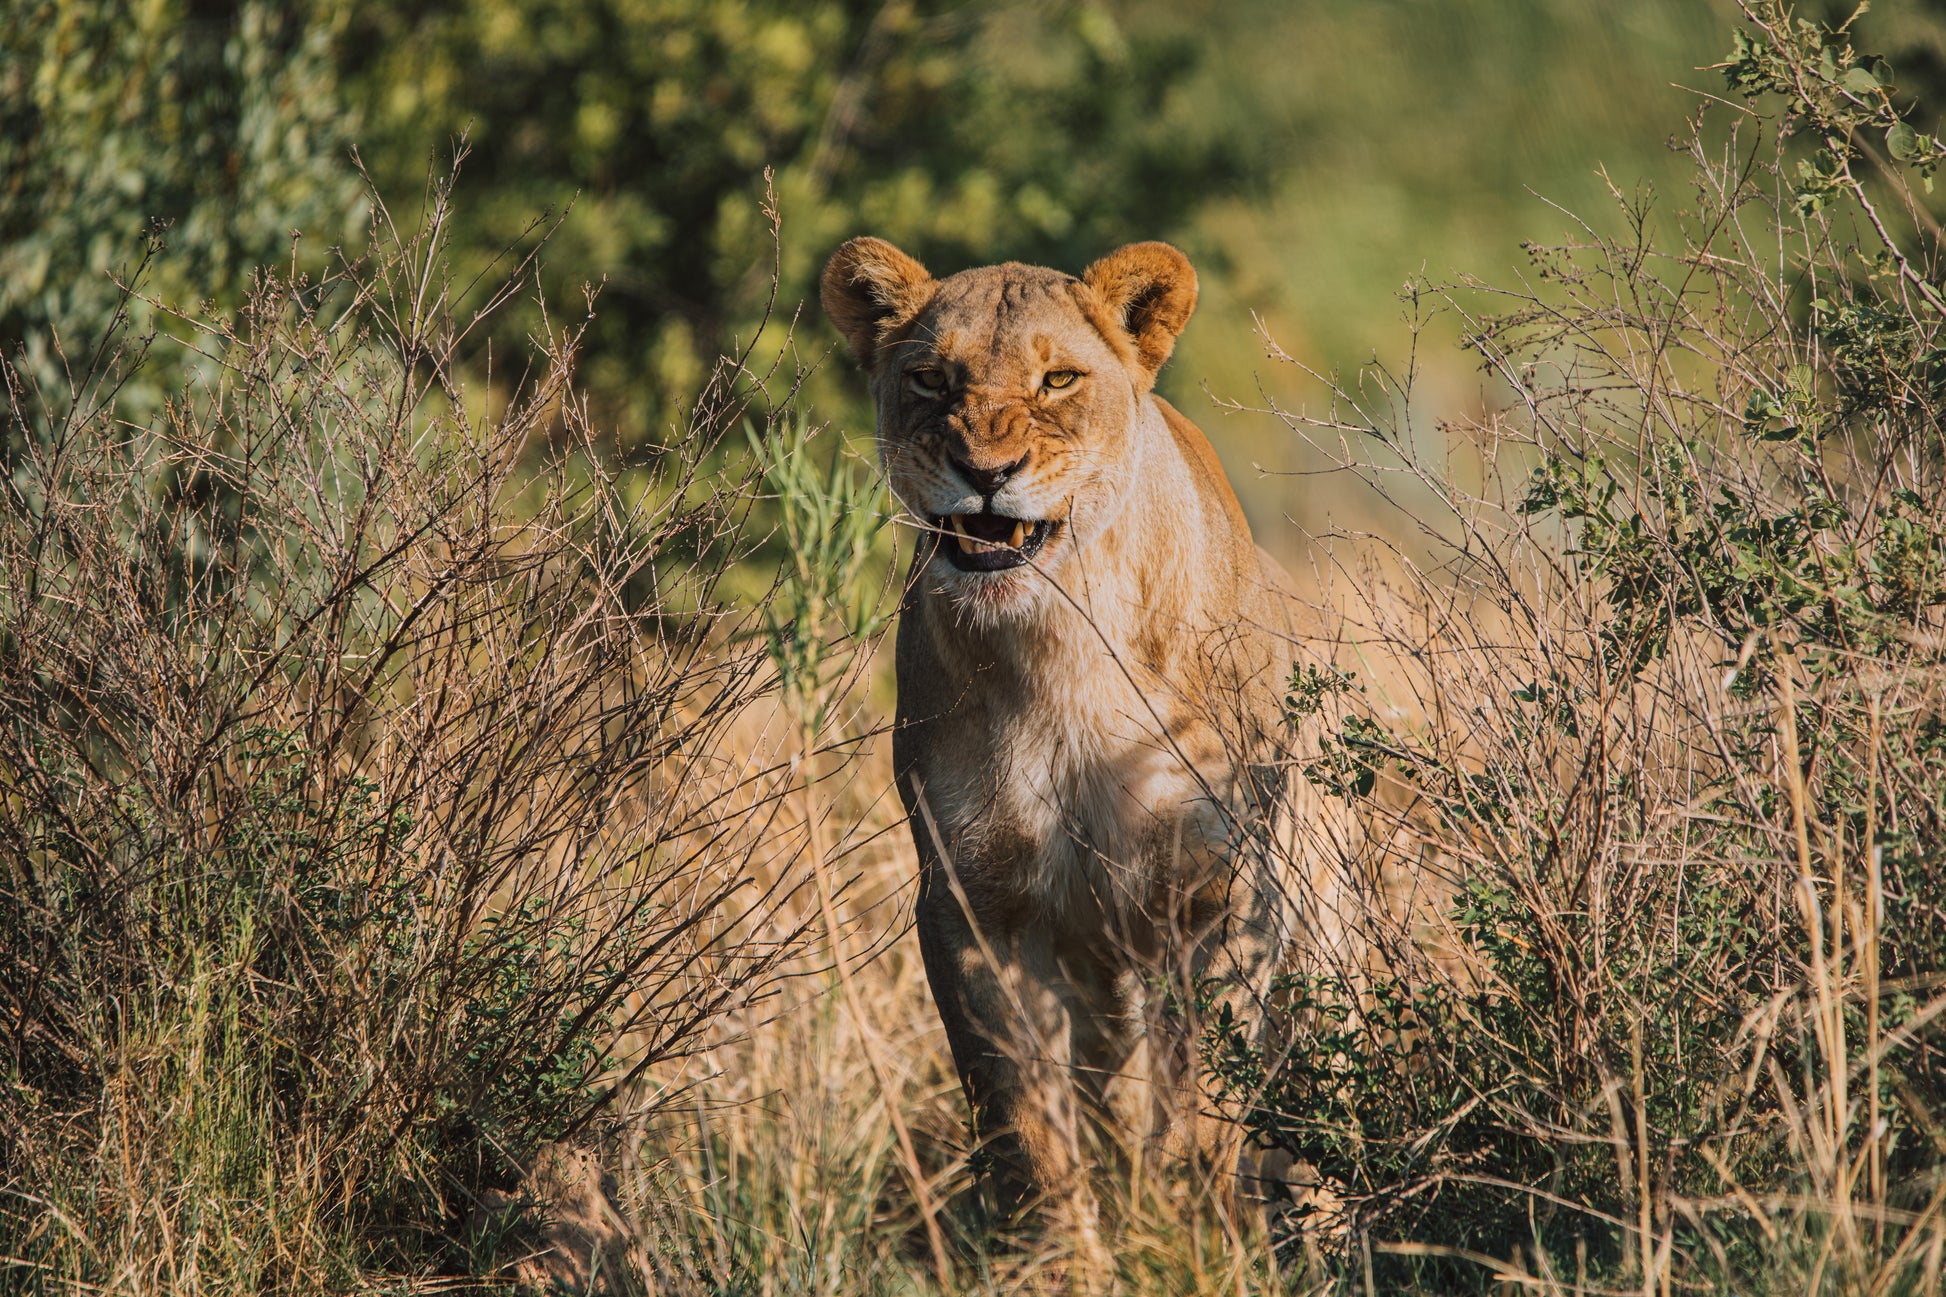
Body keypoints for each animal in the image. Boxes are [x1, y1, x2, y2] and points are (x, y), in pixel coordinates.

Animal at [822, 237, 1331, 1244]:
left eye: (1058, 378)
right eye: (931, 378)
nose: (986, 469)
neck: (1054, 648)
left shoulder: (1216, 896)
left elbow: (1200, 1105)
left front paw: (1188, 1237)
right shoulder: (972, 901)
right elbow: (1020, 1117)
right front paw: (1062, 1249)